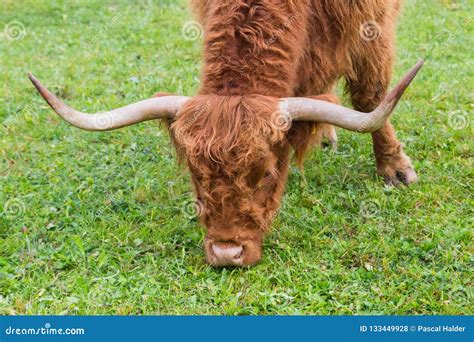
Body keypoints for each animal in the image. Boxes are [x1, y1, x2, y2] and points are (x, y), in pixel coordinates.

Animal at [29, 0, 422, 268]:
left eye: (267, 174)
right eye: (195, 175)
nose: (226, 253)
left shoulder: (371, 25)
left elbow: (371, 97)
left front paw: (395, 168)